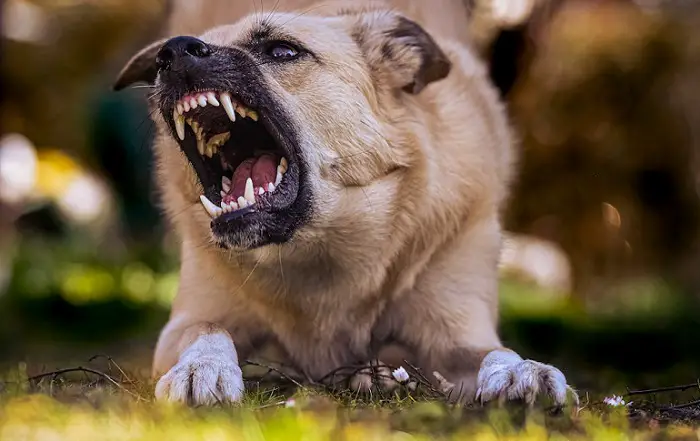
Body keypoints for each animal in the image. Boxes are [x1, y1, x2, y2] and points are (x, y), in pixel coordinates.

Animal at [113, 0, 576, 406]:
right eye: (167, 54)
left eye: (282, 50)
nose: (173, 52)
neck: (319, 250)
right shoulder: (189, 320)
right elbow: (209, 330)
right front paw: (202, 368)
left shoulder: (458, 333)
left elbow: (495, 352)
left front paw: (521, 370)